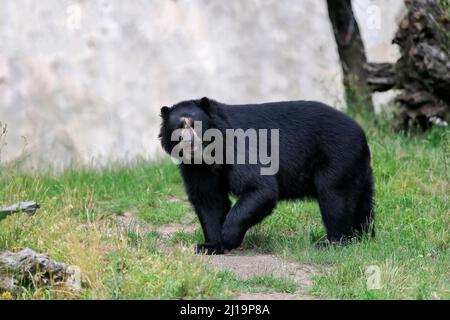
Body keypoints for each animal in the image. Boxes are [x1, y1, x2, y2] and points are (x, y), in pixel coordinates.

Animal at [158, 96, 372, 254]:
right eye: (178, 129)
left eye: (197, 125)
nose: (190, 145)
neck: (209, 155)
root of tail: (361, 132)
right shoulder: (196, 168)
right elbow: (209, 200)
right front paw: (209, 246)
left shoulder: (238, 146)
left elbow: (260, 188)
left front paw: (228, 237)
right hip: (357, 169)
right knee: (362, 203)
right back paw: (363, 237)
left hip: (337, 158)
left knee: (335, 198)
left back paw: (332, 242)